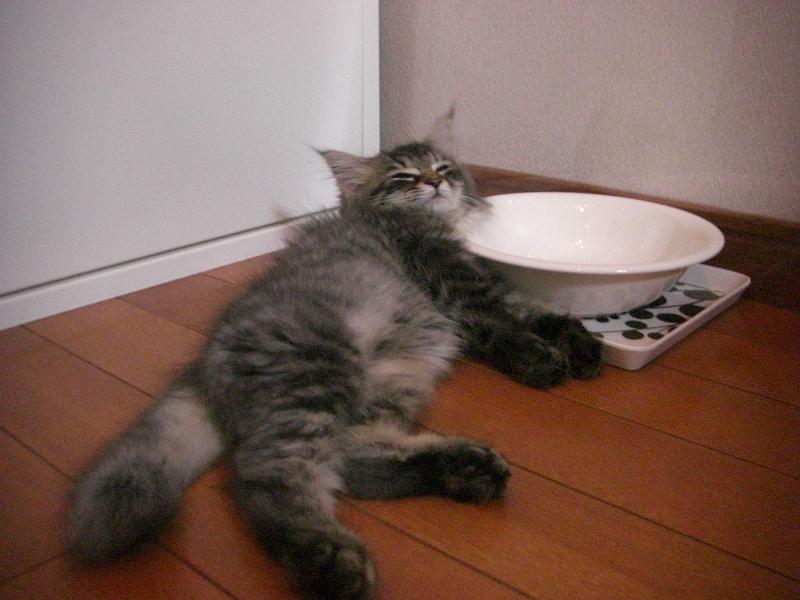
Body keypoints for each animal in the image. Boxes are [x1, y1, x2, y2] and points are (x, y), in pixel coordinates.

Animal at [68, 110, 604, 600]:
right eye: (404, 178)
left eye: (443, 168)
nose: (435, 183)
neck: (429, 224)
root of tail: (205, 358)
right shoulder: (463, 292)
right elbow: (508, 329)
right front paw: (543, 361)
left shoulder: (488, 286)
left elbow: (540, 312)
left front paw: (583, 348)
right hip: (316, 374)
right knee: (270, 473)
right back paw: (331, 561)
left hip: (396, 376)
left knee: (357, 459)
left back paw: (466, 469)